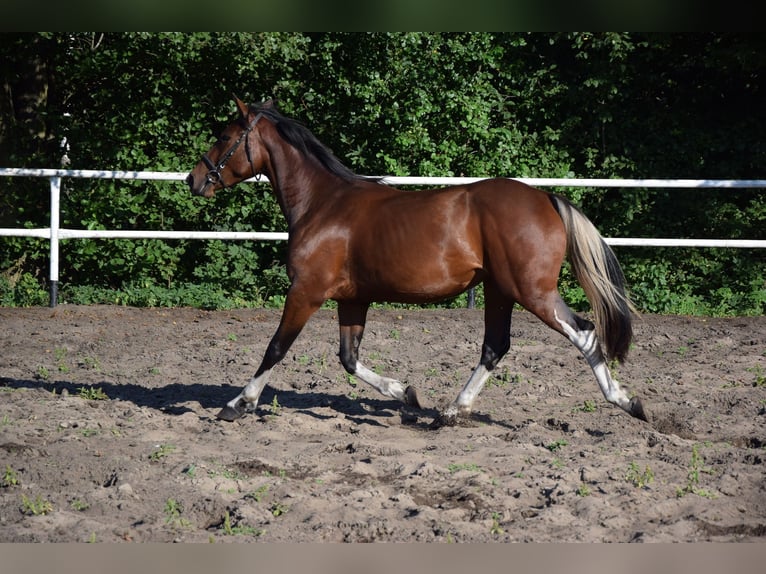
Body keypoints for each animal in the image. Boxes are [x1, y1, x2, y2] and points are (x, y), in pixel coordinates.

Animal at [186, 97, 648, 427]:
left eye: (224, 136)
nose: (194, 179)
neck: (322, 204)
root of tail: (546, 198)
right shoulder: (352, 300)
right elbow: (349, 358)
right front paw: (406, 393)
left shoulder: (306, 291)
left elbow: (276, 348)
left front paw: (238, 404)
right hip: (500, 290)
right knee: (495, 347)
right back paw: (450, 412)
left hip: (532, 292)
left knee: (584, 333)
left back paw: (626, 402)